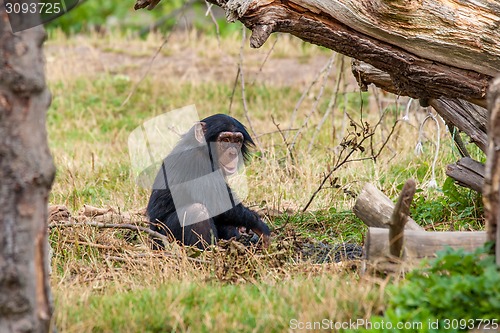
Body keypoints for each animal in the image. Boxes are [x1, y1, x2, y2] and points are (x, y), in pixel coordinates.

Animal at [146, 113, 272, 249]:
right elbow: (220, 203)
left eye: (237, 141)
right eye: (225, 140)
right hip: (165, 239)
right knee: (197, 211)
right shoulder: (198, 163)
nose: (233, 152)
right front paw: (259, 226)